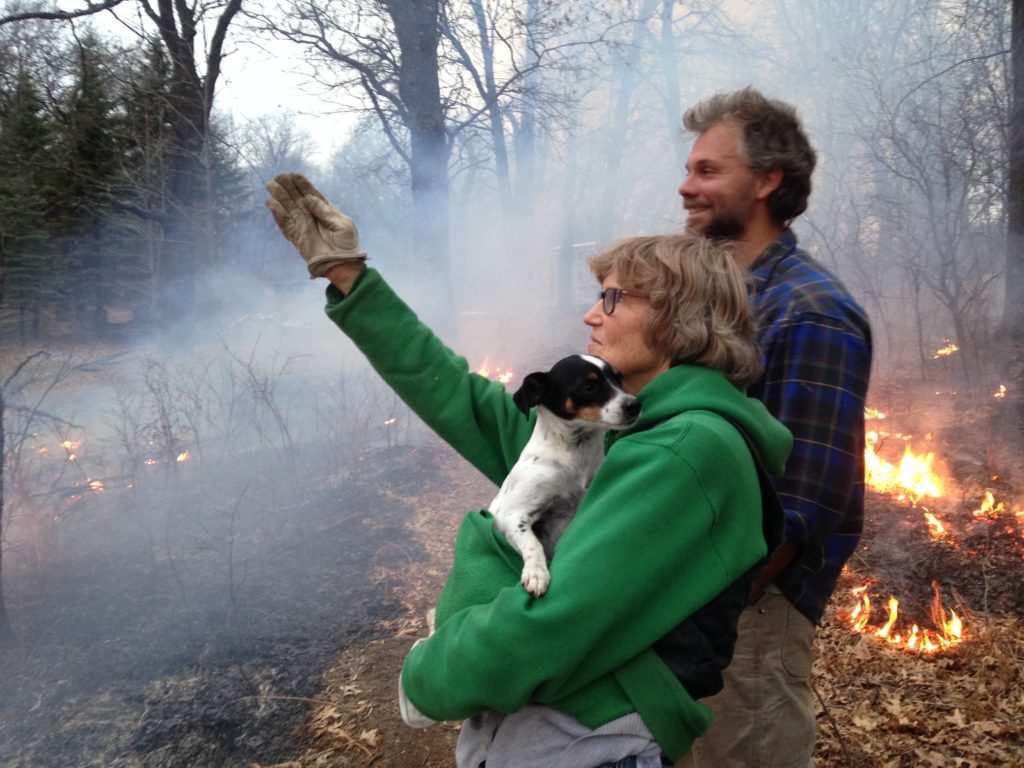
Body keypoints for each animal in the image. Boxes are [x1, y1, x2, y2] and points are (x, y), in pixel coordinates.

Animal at [489, 354, 638, 602]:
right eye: (588, 386)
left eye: (619, 378)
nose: (635, 405)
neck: (574, 457)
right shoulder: (512, 515)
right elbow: (533, 544)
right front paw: (537, 573)